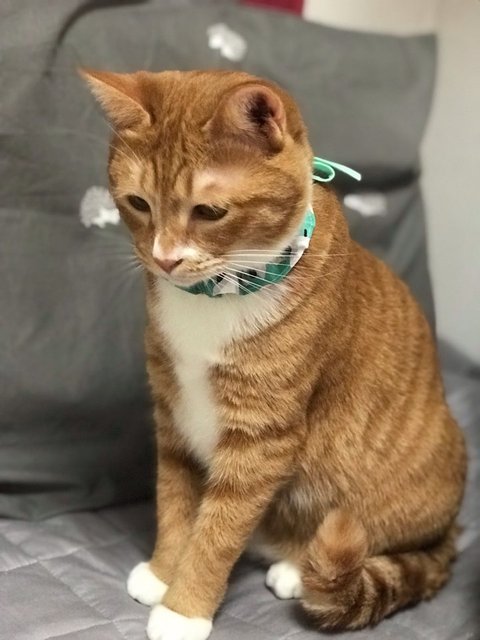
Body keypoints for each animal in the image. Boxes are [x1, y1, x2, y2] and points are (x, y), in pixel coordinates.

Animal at [82, 68, 466, 640]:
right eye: (138, 203)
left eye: (210, 211)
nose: (165, 259)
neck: (218, 294)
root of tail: (453, 532)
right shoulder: (173, 416)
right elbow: (176, 507)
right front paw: (163, 572)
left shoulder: (262, 439)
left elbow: (217, 531)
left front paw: (183, 609)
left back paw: (295, 566)